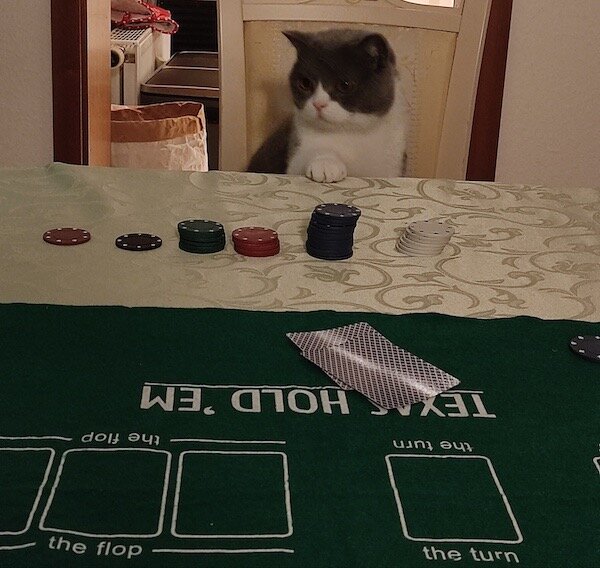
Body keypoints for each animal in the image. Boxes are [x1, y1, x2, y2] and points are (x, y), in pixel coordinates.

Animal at [247, 29, 407, 182]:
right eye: (305, 83)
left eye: (345, 85)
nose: (318, 104)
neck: (350, 133)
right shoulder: (296, 150)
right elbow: (305, 158)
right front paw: (326, 163)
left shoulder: (393, 165)